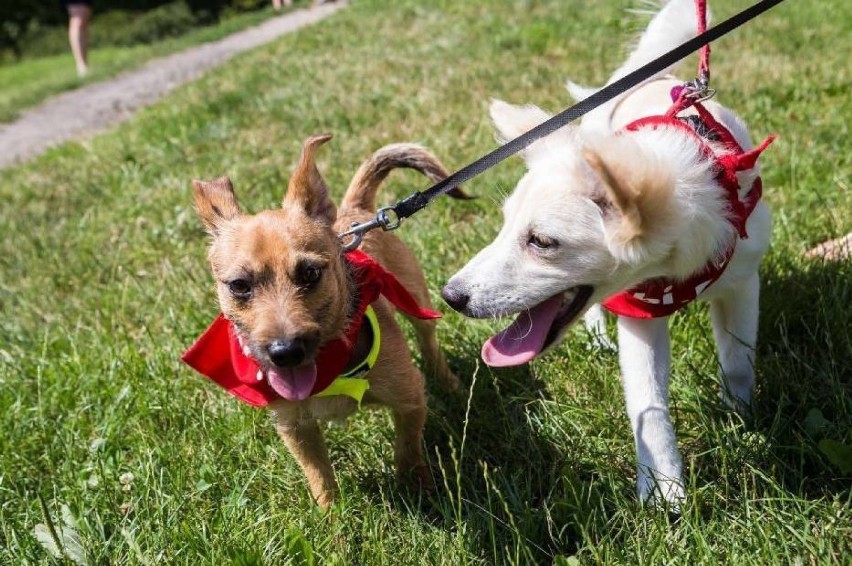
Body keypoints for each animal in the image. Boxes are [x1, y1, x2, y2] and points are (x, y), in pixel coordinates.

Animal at [189, 135, 462, 508]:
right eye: (239, 286)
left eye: (310, 274)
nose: (285, 352)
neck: (330, 367)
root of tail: (355, 210)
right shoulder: (295, 427)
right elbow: (318, 474)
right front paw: (331, 515)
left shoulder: (409, 398)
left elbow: (408, 448)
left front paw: (417, 486)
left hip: (415, 297)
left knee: (428, 338)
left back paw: (447, 381)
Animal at [442, 0, 776, 506]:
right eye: (504, 225)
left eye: (542, 242)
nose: (450, 296)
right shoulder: (637, 313)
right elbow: (648, 404)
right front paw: (664, 492)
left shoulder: (742, 281)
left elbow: (738, 363)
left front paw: (741, 421)